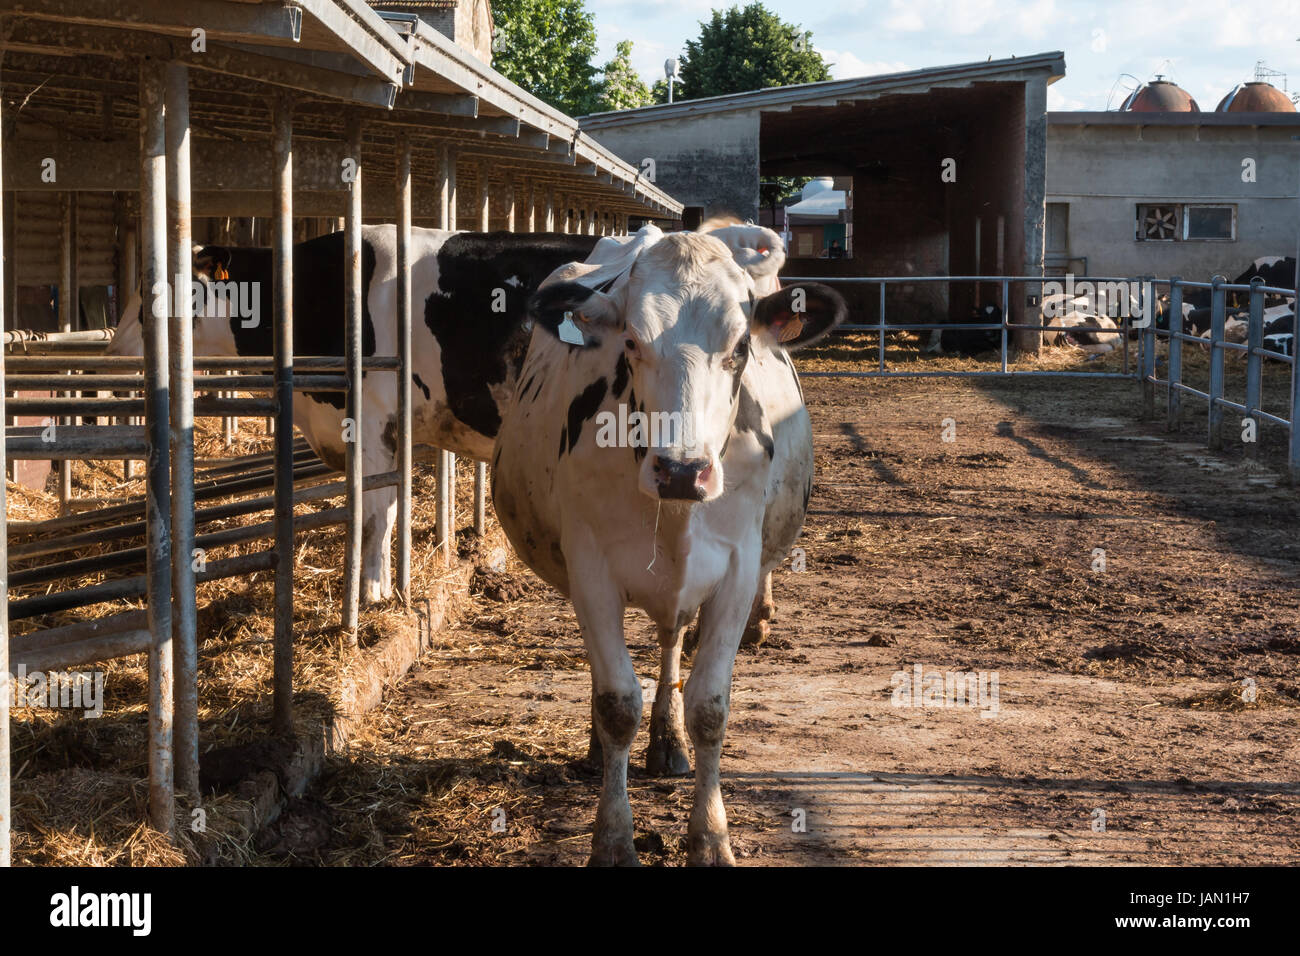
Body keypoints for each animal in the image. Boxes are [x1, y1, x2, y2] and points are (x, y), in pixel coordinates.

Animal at [491, 230, 846, 865]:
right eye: (631, 341)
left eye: (740, 346)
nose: (682, 471)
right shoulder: (591, 569)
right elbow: (616, 703)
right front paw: (612, 840)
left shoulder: (737, 571)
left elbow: (711, 707)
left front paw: (710, 838)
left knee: (672, 638)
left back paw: (668, 738)